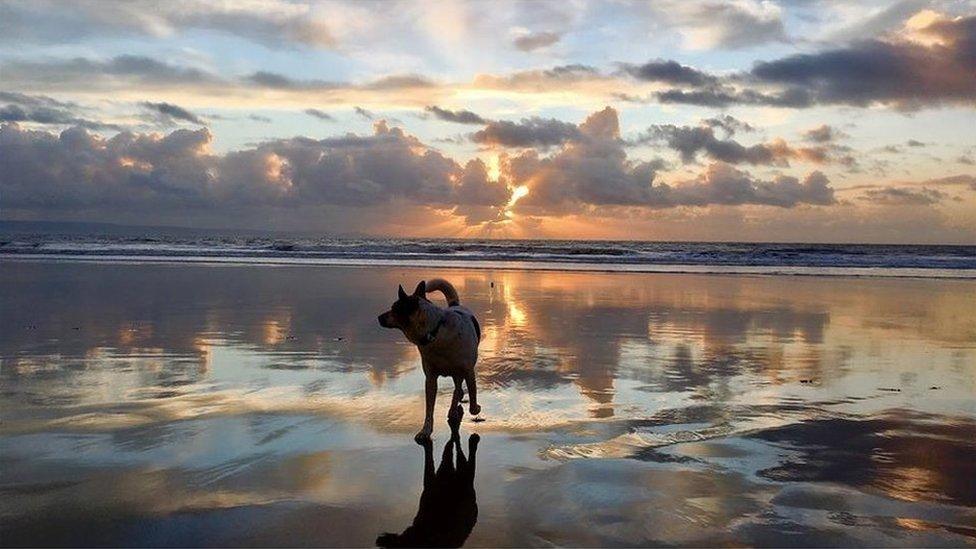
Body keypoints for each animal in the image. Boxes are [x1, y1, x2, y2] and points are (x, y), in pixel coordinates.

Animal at [378, 278, 480, 440]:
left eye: (394, 308)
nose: (379, 318)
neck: (436, 333)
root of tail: (455, 305)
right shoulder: (430, 378)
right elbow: (429, 408)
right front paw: (425, 430)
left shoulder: (468, 371)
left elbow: (473, 402)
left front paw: (475, 407)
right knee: (457, 388)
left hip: (460, 370)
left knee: (458, 386)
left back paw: (454, 408)